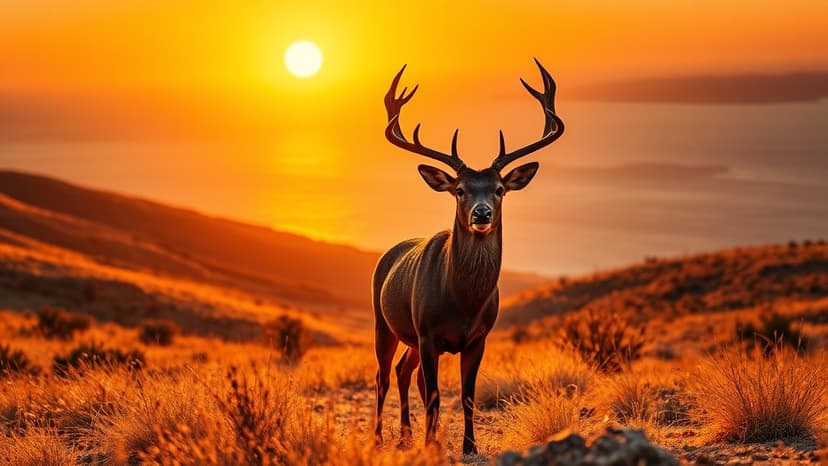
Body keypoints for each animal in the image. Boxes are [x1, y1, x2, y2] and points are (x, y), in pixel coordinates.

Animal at [372, 59, 564, 455]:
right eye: (459, 189)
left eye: (499, 189)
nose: (482, 213)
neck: (462, 301)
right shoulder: (428, 331)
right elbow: (433, 393)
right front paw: (433, 444)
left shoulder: (478, 337)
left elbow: (467, 395)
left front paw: (468, 445)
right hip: (384, 321)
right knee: (383, 375)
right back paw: (381, 436)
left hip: (410, 337)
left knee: (403, 371)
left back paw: (407, 434)